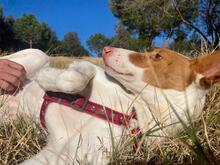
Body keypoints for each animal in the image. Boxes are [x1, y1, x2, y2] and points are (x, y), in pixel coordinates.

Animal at [0, 46, 220, 164]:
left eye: (158, 56)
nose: (106, 49)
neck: (135, 114)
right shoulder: (87, 67)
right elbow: (76, 78)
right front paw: (46, 76)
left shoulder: (63, 153)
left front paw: (45, 77)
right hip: (37, 54)